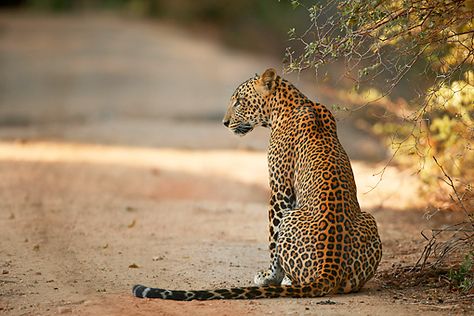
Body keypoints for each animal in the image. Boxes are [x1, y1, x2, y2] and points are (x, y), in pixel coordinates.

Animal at [132, 68, 382, 300]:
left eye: (239, 101)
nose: (224, 123)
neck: (291, 103)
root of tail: (329, 270)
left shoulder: (280, 189)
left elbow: (272, 239)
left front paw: (270, 277)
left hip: (293, 216)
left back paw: (287, 281)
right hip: (369, 219)